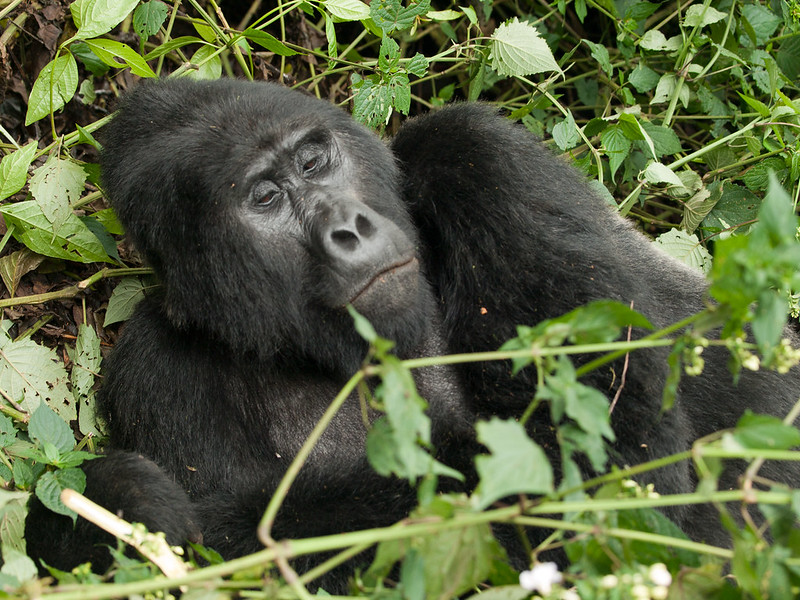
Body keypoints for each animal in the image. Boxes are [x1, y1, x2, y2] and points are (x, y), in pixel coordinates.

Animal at [25, 77, 800, 588]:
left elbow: (606, 473)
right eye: (266, 199)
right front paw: (102, 510)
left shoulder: (477, 153)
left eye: (314, 161)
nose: (348, 228)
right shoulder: (153, 368)